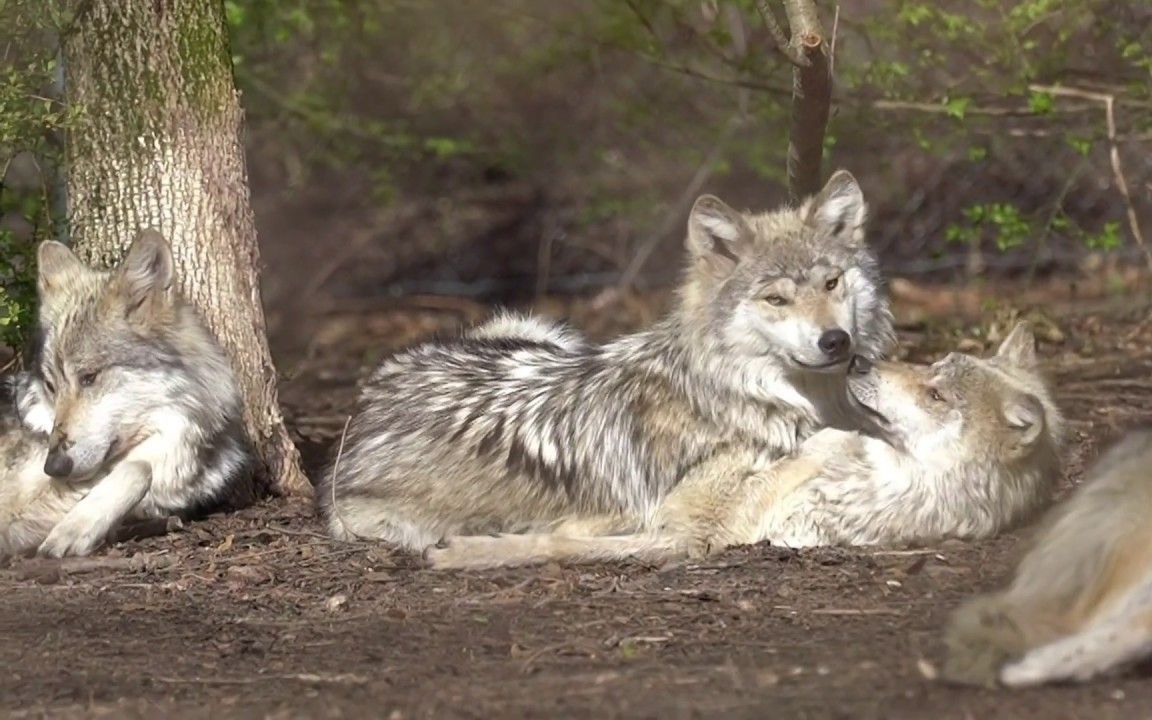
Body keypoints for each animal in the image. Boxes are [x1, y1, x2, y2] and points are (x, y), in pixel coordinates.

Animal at [0, 230, 254, 555]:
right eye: (51, 386)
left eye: (89, 377)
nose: (53, 467)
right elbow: (139, 469)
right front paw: (72, 530)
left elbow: (139, 468)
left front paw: (74, 530)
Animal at [324, 169, 898, 550]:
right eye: (777, 299)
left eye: (831, 283)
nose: (836, 341)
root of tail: (376, 387)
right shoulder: (695, 513)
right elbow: (822, 445)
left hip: (539, 329)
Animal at [428, 322, 1064, 569]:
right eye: (931, 367)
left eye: (936, 393)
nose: (858, 359)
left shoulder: (693, 532)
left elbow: (555, 544)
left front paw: (462, 552)